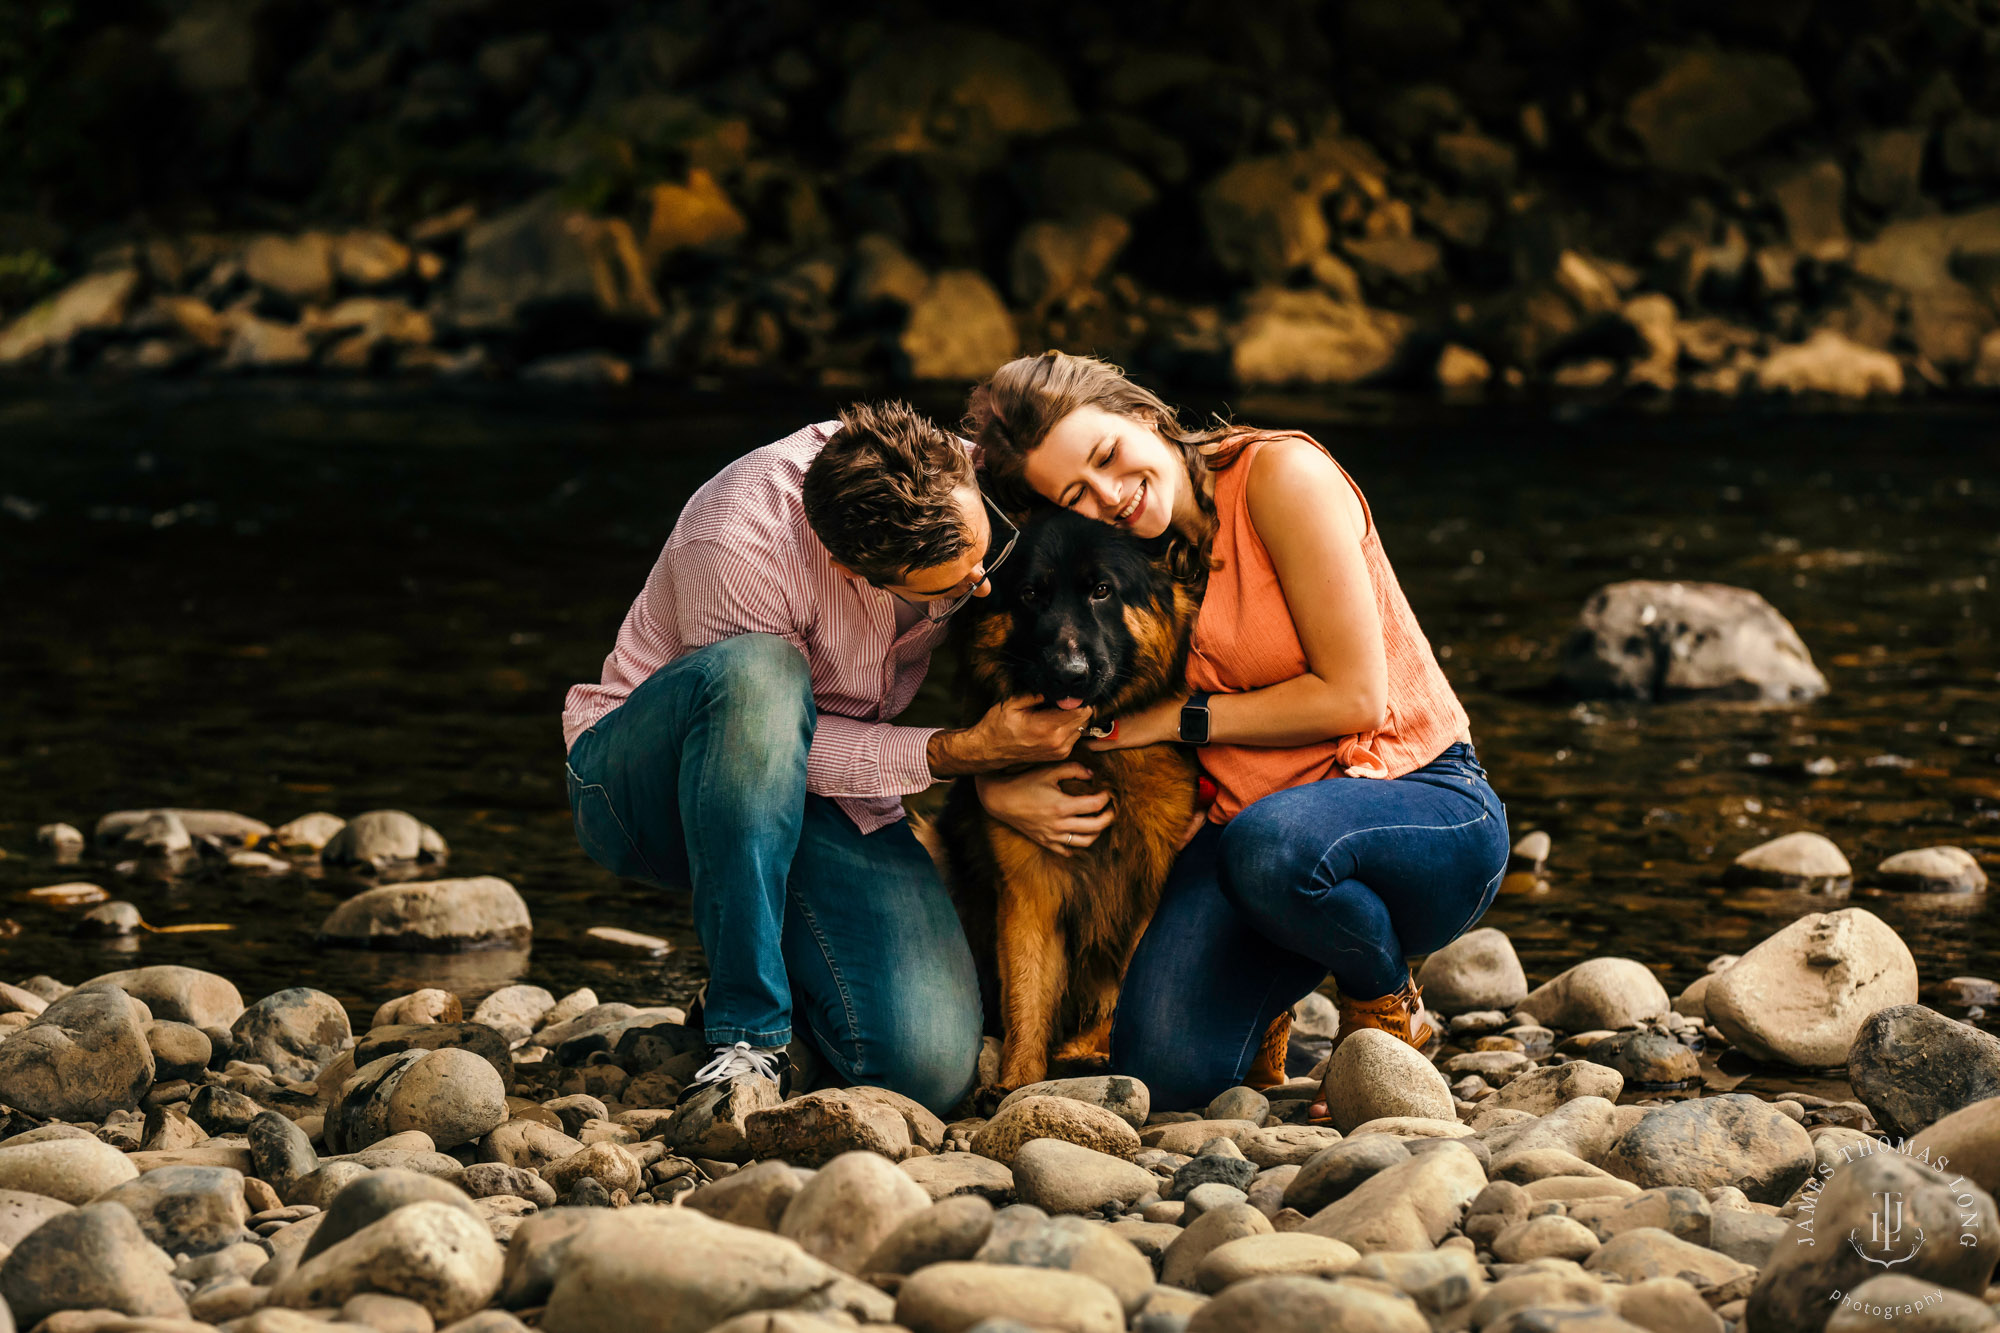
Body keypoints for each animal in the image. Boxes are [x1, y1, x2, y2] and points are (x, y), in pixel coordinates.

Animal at [940, 504, 1200, 1088]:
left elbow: (1124, 988)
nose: (1069, 674)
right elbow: (1027, 994)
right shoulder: (1029, 892)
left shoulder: (1151, 888)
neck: (1095, 754)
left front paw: (1087, 1051)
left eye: (1102, 590)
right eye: (1031, 594)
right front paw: (1017, 1083)